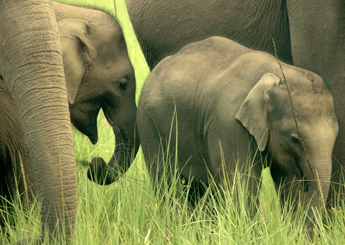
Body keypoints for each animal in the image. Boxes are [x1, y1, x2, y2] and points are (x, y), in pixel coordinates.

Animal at [123, 0, 344, 204]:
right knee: (167, 183)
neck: (275, 75)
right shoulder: (227, 123)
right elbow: (242, 183)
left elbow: (288, 183)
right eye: (295, 139)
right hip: (149, 125)